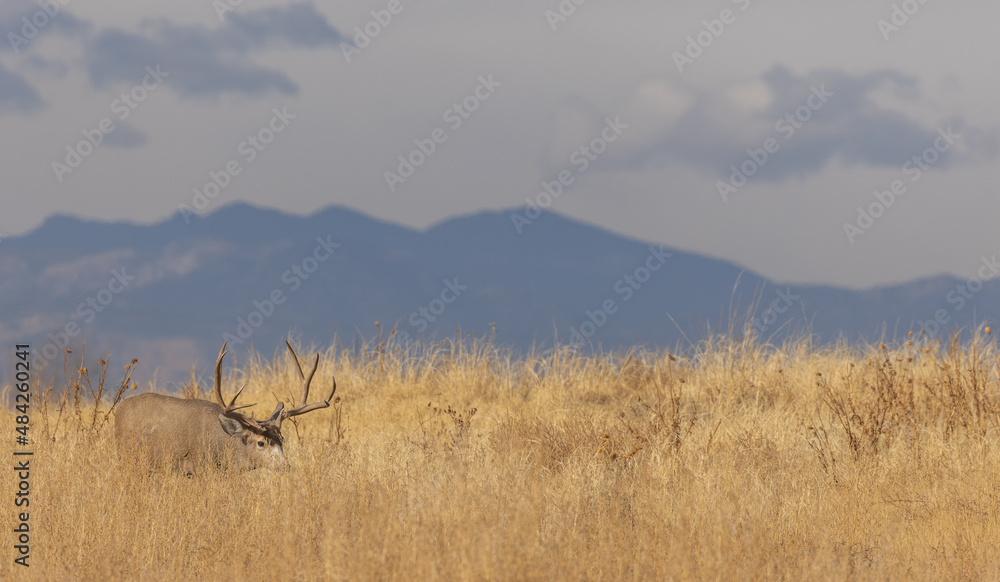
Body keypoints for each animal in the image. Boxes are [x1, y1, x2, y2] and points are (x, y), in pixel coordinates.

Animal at [114, 341, 336, 474]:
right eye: (260, 443)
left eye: (282, 440)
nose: (285, 466)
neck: (221, 443)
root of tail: (119, 409)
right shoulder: (199, 466)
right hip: (127, 456)